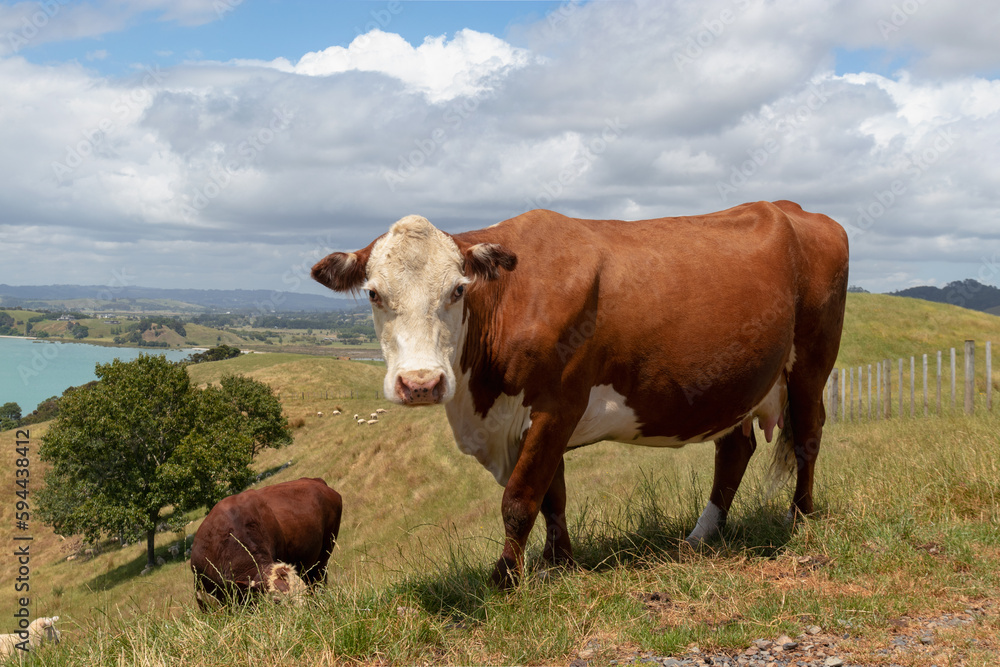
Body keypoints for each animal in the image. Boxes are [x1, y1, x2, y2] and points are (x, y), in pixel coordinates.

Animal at [310, 201, 844, 588]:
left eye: (458, 290)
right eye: (375, 294)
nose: (421, 384)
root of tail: (789, 207)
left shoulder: (557, 404)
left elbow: (521, 498)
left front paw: (505, 579)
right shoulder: (531, 420)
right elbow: (554, 495)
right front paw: (559, 563)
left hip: (811, 365)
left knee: (807, 439)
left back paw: (799, 519)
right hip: (733, 386)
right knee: (735, 450)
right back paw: (701, 536)